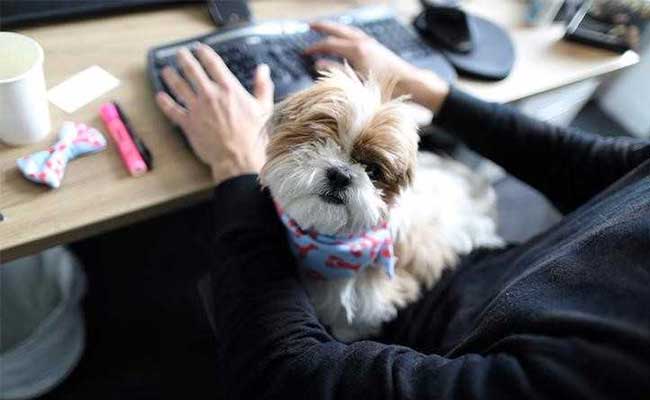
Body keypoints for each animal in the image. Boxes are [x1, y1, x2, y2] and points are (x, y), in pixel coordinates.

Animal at [258, 65, 502, 340]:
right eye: (320, 141)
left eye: (373, 171)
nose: (341, 174)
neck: (334, 247)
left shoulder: (374, 300)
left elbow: (353, 324)